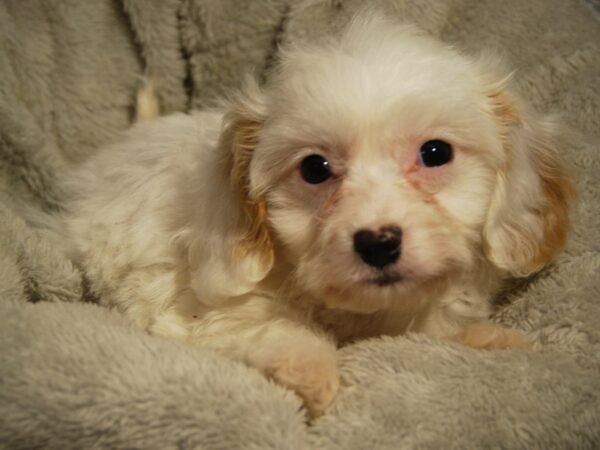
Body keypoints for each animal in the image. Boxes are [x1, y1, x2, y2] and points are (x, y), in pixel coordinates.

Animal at [58, 14, 576, 414]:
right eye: (314, 168)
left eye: (435, 152)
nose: (378, 242)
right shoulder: (192, 317)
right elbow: (262, 328)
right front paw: (309, 367)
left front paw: (497, 341)